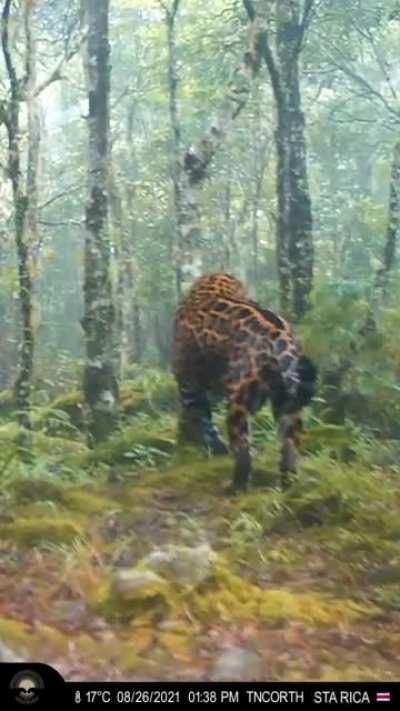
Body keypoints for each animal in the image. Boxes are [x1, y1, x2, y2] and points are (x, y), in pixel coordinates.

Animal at [172, 273, 317, 492]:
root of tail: (279, 334)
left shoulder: (188, 384)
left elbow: (203, 421)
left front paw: (216, 448)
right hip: (288, 399)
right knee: (290, 444)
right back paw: (288, 484)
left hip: (239, 399)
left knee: (243, 448)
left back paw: (236, 484)